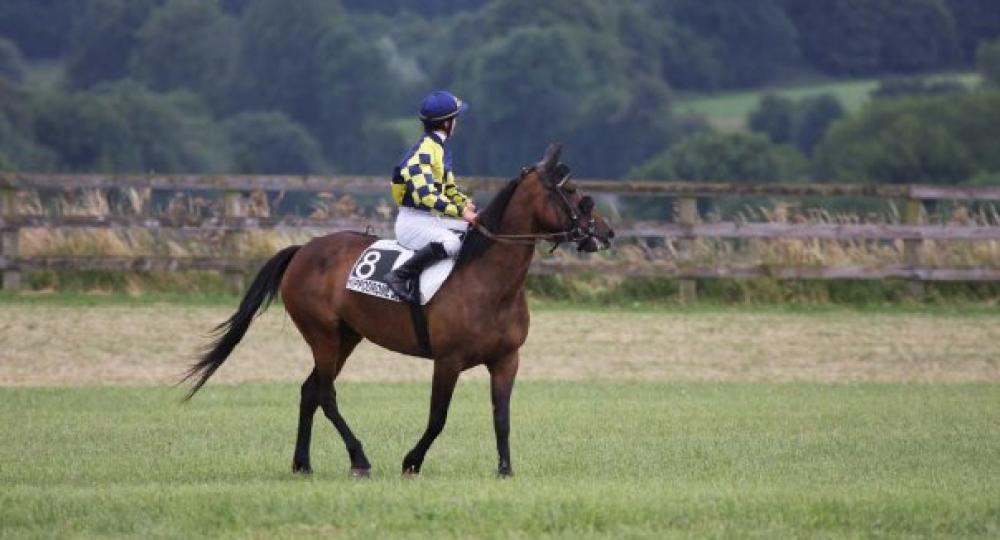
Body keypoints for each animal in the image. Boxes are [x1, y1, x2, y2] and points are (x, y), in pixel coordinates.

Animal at [183, 144, 612, 476]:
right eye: (572, 190)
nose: (606, 233)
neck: (489, 283)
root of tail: (303, 249)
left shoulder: (507, 360)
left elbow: (502, 418)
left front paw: (505, 469)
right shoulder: (448, 360)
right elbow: (438, 418)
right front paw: (411, 461)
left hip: (346, 337)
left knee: (310, 391)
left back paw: (303, 463)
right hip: (323, 335)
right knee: (325, 393)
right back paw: (359, 458)